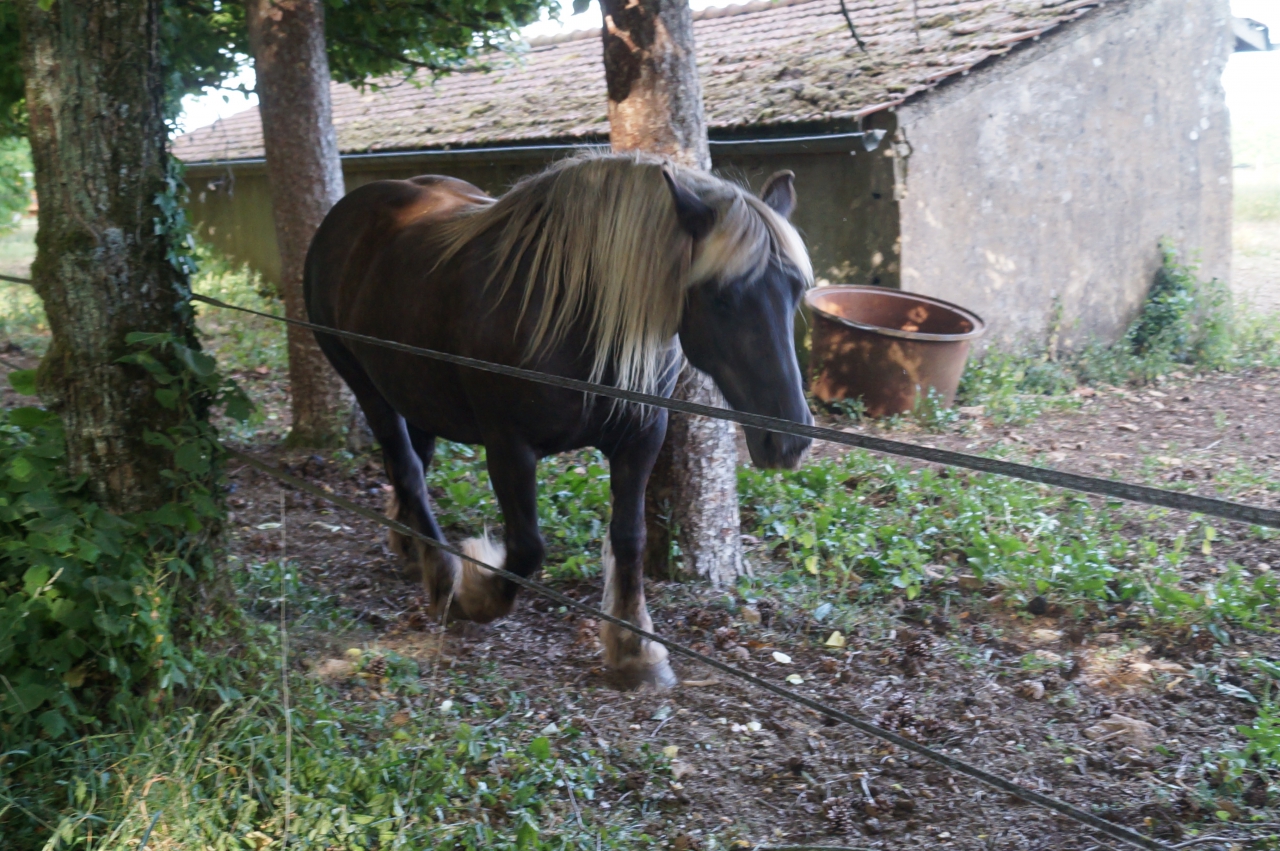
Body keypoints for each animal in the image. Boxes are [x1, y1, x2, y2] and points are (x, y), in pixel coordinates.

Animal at [304, 152, 814, 689]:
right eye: (722, 297)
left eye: (795, 290)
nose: (788, 440)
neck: (577, 316)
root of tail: (346, 214)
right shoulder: (508, 446)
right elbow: (527, 547)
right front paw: (475, 593)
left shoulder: (640, 439)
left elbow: (629, 539)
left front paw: (635, 650)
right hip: (364, 384)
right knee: (406, 467)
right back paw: (441, 575)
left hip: (413, 390)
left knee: (412, 467)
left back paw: (410, 548)